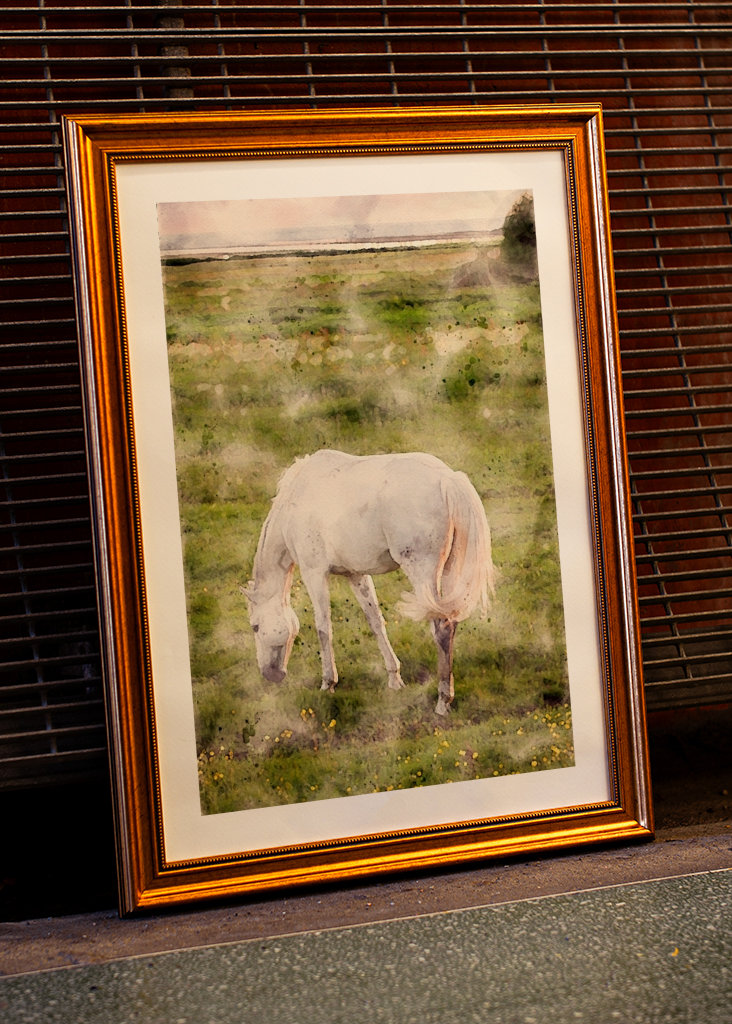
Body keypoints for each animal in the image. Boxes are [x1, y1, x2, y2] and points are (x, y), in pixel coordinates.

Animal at [243, 449, 494, 715]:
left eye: (255, 627)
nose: (270, 675)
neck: (298, 495)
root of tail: (447, 478)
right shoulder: (357, 575)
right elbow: (375, 622)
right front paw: (394, 678)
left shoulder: (314, 573)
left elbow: (323, 627)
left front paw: (328, 683)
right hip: (448, 574)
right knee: (451, 622)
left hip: (423, 574)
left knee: (442, 629)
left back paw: (443, 701)